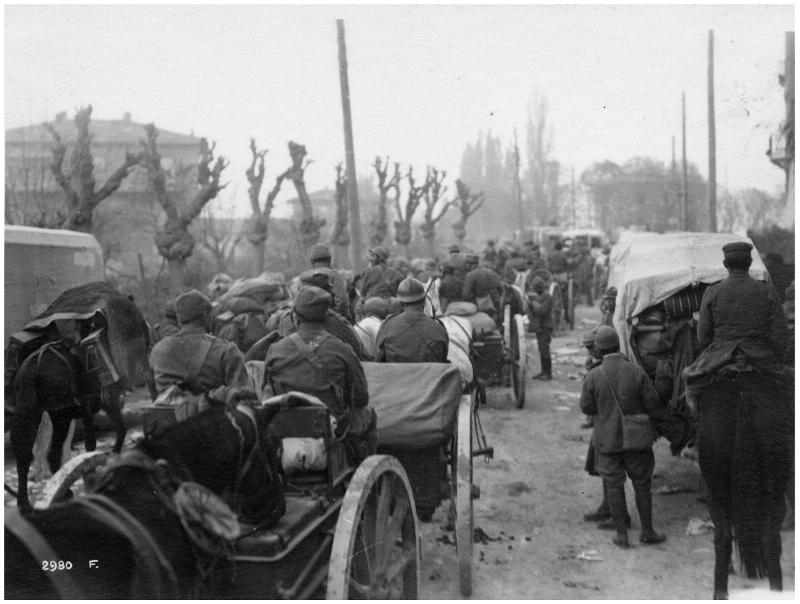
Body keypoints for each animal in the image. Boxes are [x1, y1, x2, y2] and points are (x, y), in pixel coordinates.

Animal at [10, 338, 127, 512]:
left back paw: (29, 502)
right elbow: (91, 443)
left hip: (34, 415)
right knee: (52, 450)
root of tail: (33, 366)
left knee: (28, 455)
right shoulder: (90, 404)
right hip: (61, 415)